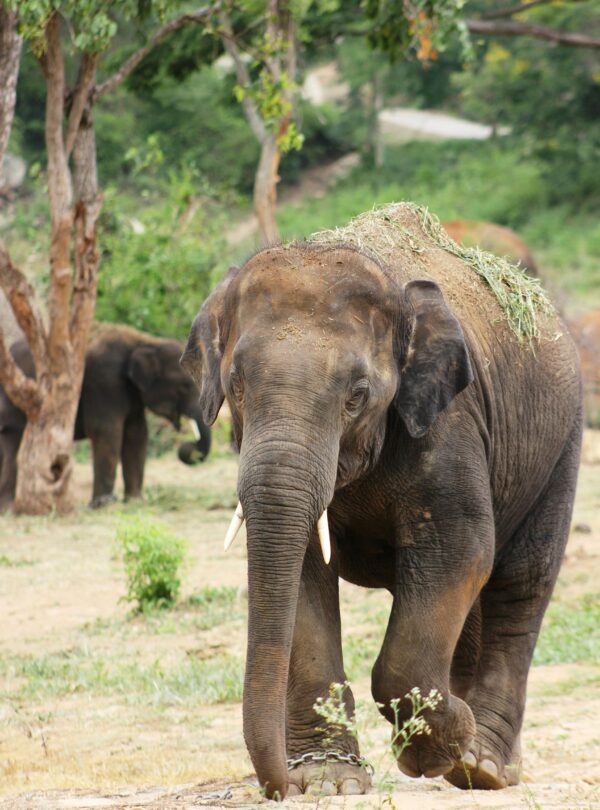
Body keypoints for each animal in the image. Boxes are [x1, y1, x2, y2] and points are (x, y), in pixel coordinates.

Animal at [0, 323, 210, 510]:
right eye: (185, 386)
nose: (187, 446)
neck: (145, 341)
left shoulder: (132, 393)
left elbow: (137, 435)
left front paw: (135, 501)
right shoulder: (105, 381)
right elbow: (108, 433)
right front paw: (102, 504)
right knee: (14, 440)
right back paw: (9, 507)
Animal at [182, 203, 582, 800]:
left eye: (357, 396)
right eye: (237, 387)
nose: (279, 787)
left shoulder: (448, 424)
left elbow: (459, 553)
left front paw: (438, 747)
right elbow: (304, 571)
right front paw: (329, 782)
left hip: (562, 443)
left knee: (520, 583)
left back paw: (483, 765)